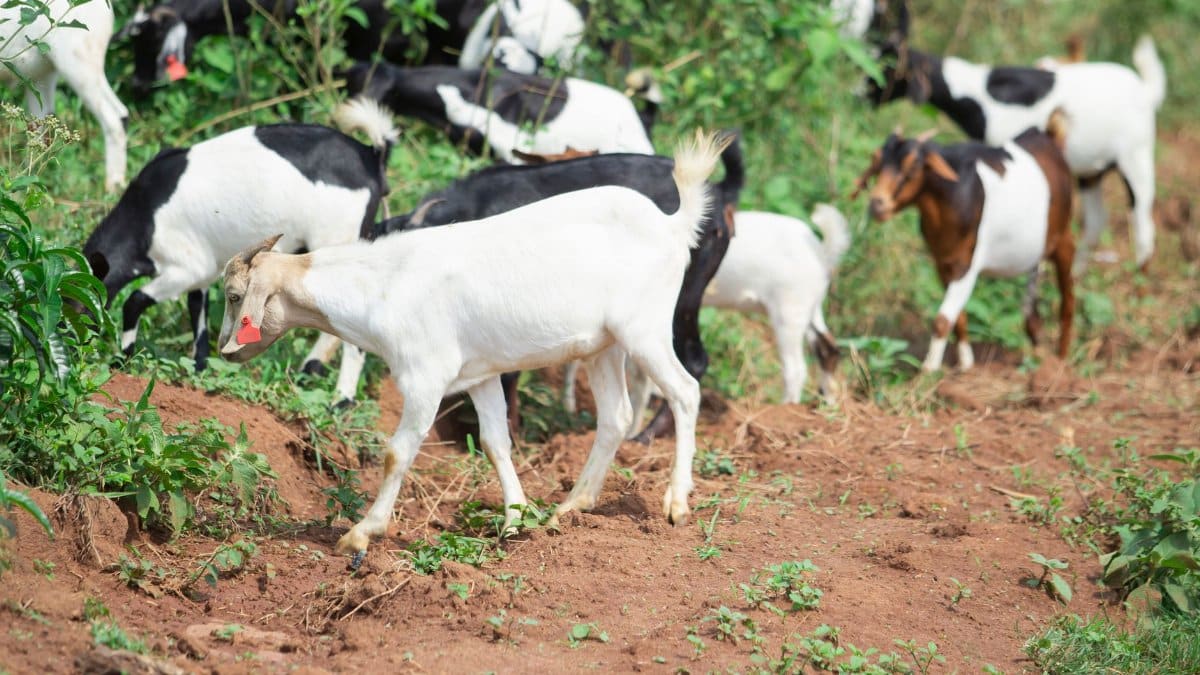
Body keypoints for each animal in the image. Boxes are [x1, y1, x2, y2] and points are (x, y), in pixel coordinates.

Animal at [83, 98, 395, 403]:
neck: (145, 216)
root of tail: (370, 155)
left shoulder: (186, 267)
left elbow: (134, 300)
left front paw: (121, 360)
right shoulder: (204, 273)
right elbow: (197, 312)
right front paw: (199, 368)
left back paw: (341, 398)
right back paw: (310, 372)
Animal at [218, 131, 730, 565]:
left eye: (234, 295)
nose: (224, 351)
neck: (383, 283)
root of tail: (672, 224)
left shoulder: (425, 378)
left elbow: (398, 451)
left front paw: (362, 533)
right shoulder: (480, 376)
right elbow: (494, 442)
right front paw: (516, 521)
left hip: (646, 329)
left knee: (684, 391)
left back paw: (676, 503)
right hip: (604, 346)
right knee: (616, 416)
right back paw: (571, 505)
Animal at [850, 117, 1075, 371]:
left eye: (913, 166)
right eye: (877, 162)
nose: (877, 204)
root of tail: (1050, 137)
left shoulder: (967, 265)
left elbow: (941, 320)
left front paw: (928, 371)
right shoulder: (942, 263)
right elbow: (957, 316)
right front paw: (966, 364)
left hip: (1063, 237)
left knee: (1067, 300)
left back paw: (1061, 360)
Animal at [869, 35, 1166, 274]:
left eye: (887, 68)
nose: (862, 95)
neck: (980, 97)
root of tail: (1145, 90)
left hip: (1136, 154)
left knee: (1143, 221)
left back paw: (1140, 280)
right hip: (1092, 170)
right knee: (1095, 222)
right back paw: (1077, 273)